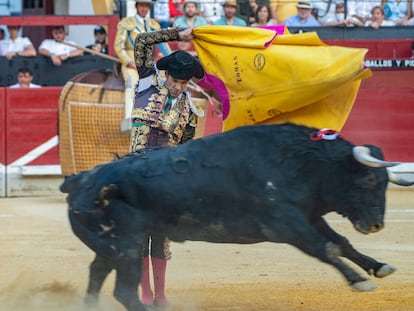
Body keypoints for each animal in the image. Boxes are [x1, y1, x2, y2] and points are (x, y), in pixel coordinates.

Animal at [59, 123, 412, 311]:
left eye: (385, 183)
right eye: (369, 180)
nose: (376, 225)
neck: (302, 162)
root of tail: (79, 180)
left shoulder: (309, 216)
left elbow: (341, 242)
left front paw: (379, 266)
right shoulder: (286, 224)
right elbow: (327, 249)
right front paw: (359, 280)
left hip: (112, 246)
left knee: (96, 273)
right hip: (129, 246)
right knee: (126, 291)